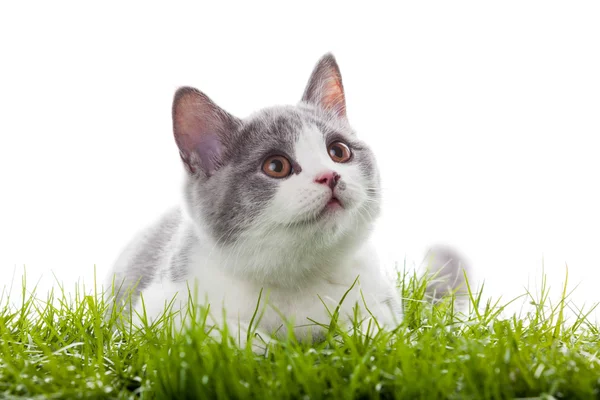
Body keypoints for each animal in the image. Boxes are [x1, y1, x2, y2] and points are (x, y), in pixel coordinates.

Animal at [105, 54, 466, 350]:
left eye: (339, 151)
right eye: (276, 166)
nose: (329, 176)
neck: (297, 277)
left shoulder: (383, 296)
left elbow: (380, 325)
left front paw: (358, 335)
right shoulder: (153, 309)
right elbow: (199, 328)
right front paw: (257, 343)